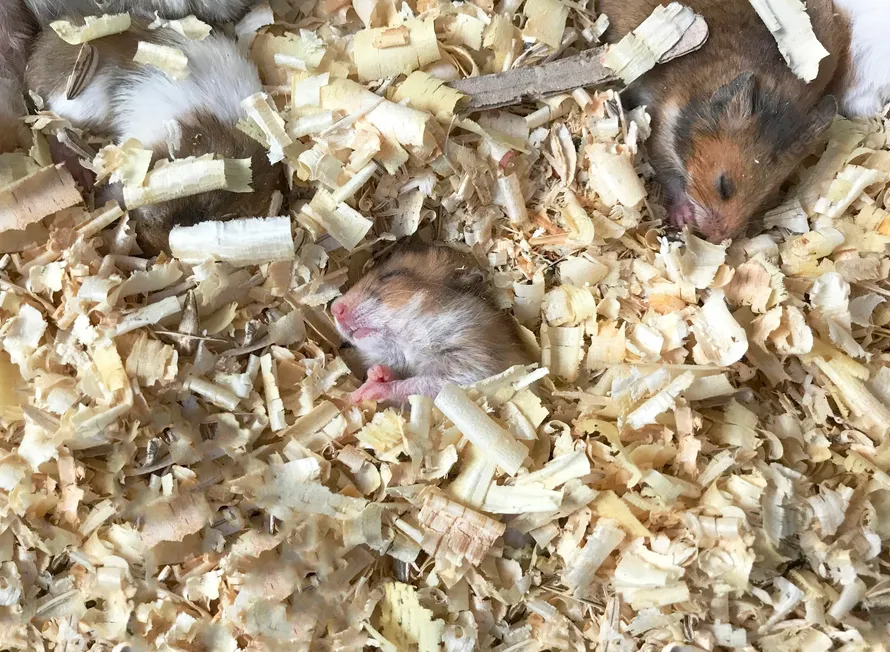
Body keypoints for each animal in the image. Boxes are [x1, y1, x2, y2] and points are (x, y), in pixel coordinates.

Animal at [331, 245, 530, 404]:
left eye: (391, 275)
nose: (334, 309)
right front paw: (377, 373)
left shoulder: (475, 366)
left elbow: (420, 384)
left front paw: (365, 391)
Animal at [597, 0, 844, 243]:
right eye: (724, 186)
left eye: (766, 196)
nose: (716, 239)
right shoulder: (658, 135)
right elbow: (670, 179)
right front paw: (683, 217)